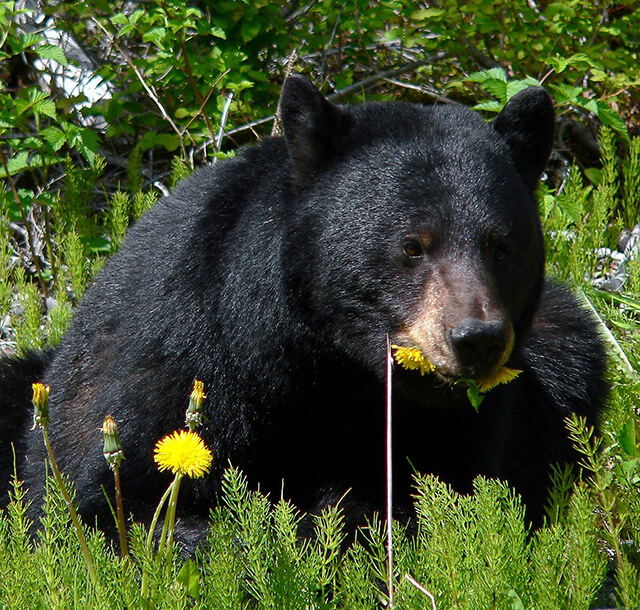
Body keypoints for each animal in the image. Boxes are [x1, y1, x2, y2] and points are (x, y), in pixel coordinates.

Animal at [0, 75, 604, 536]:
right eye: (412, 245)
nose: (476, 338)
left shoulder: (462, 424)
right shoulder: (177, 358)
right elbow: (116, 501)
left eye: (501, 247)